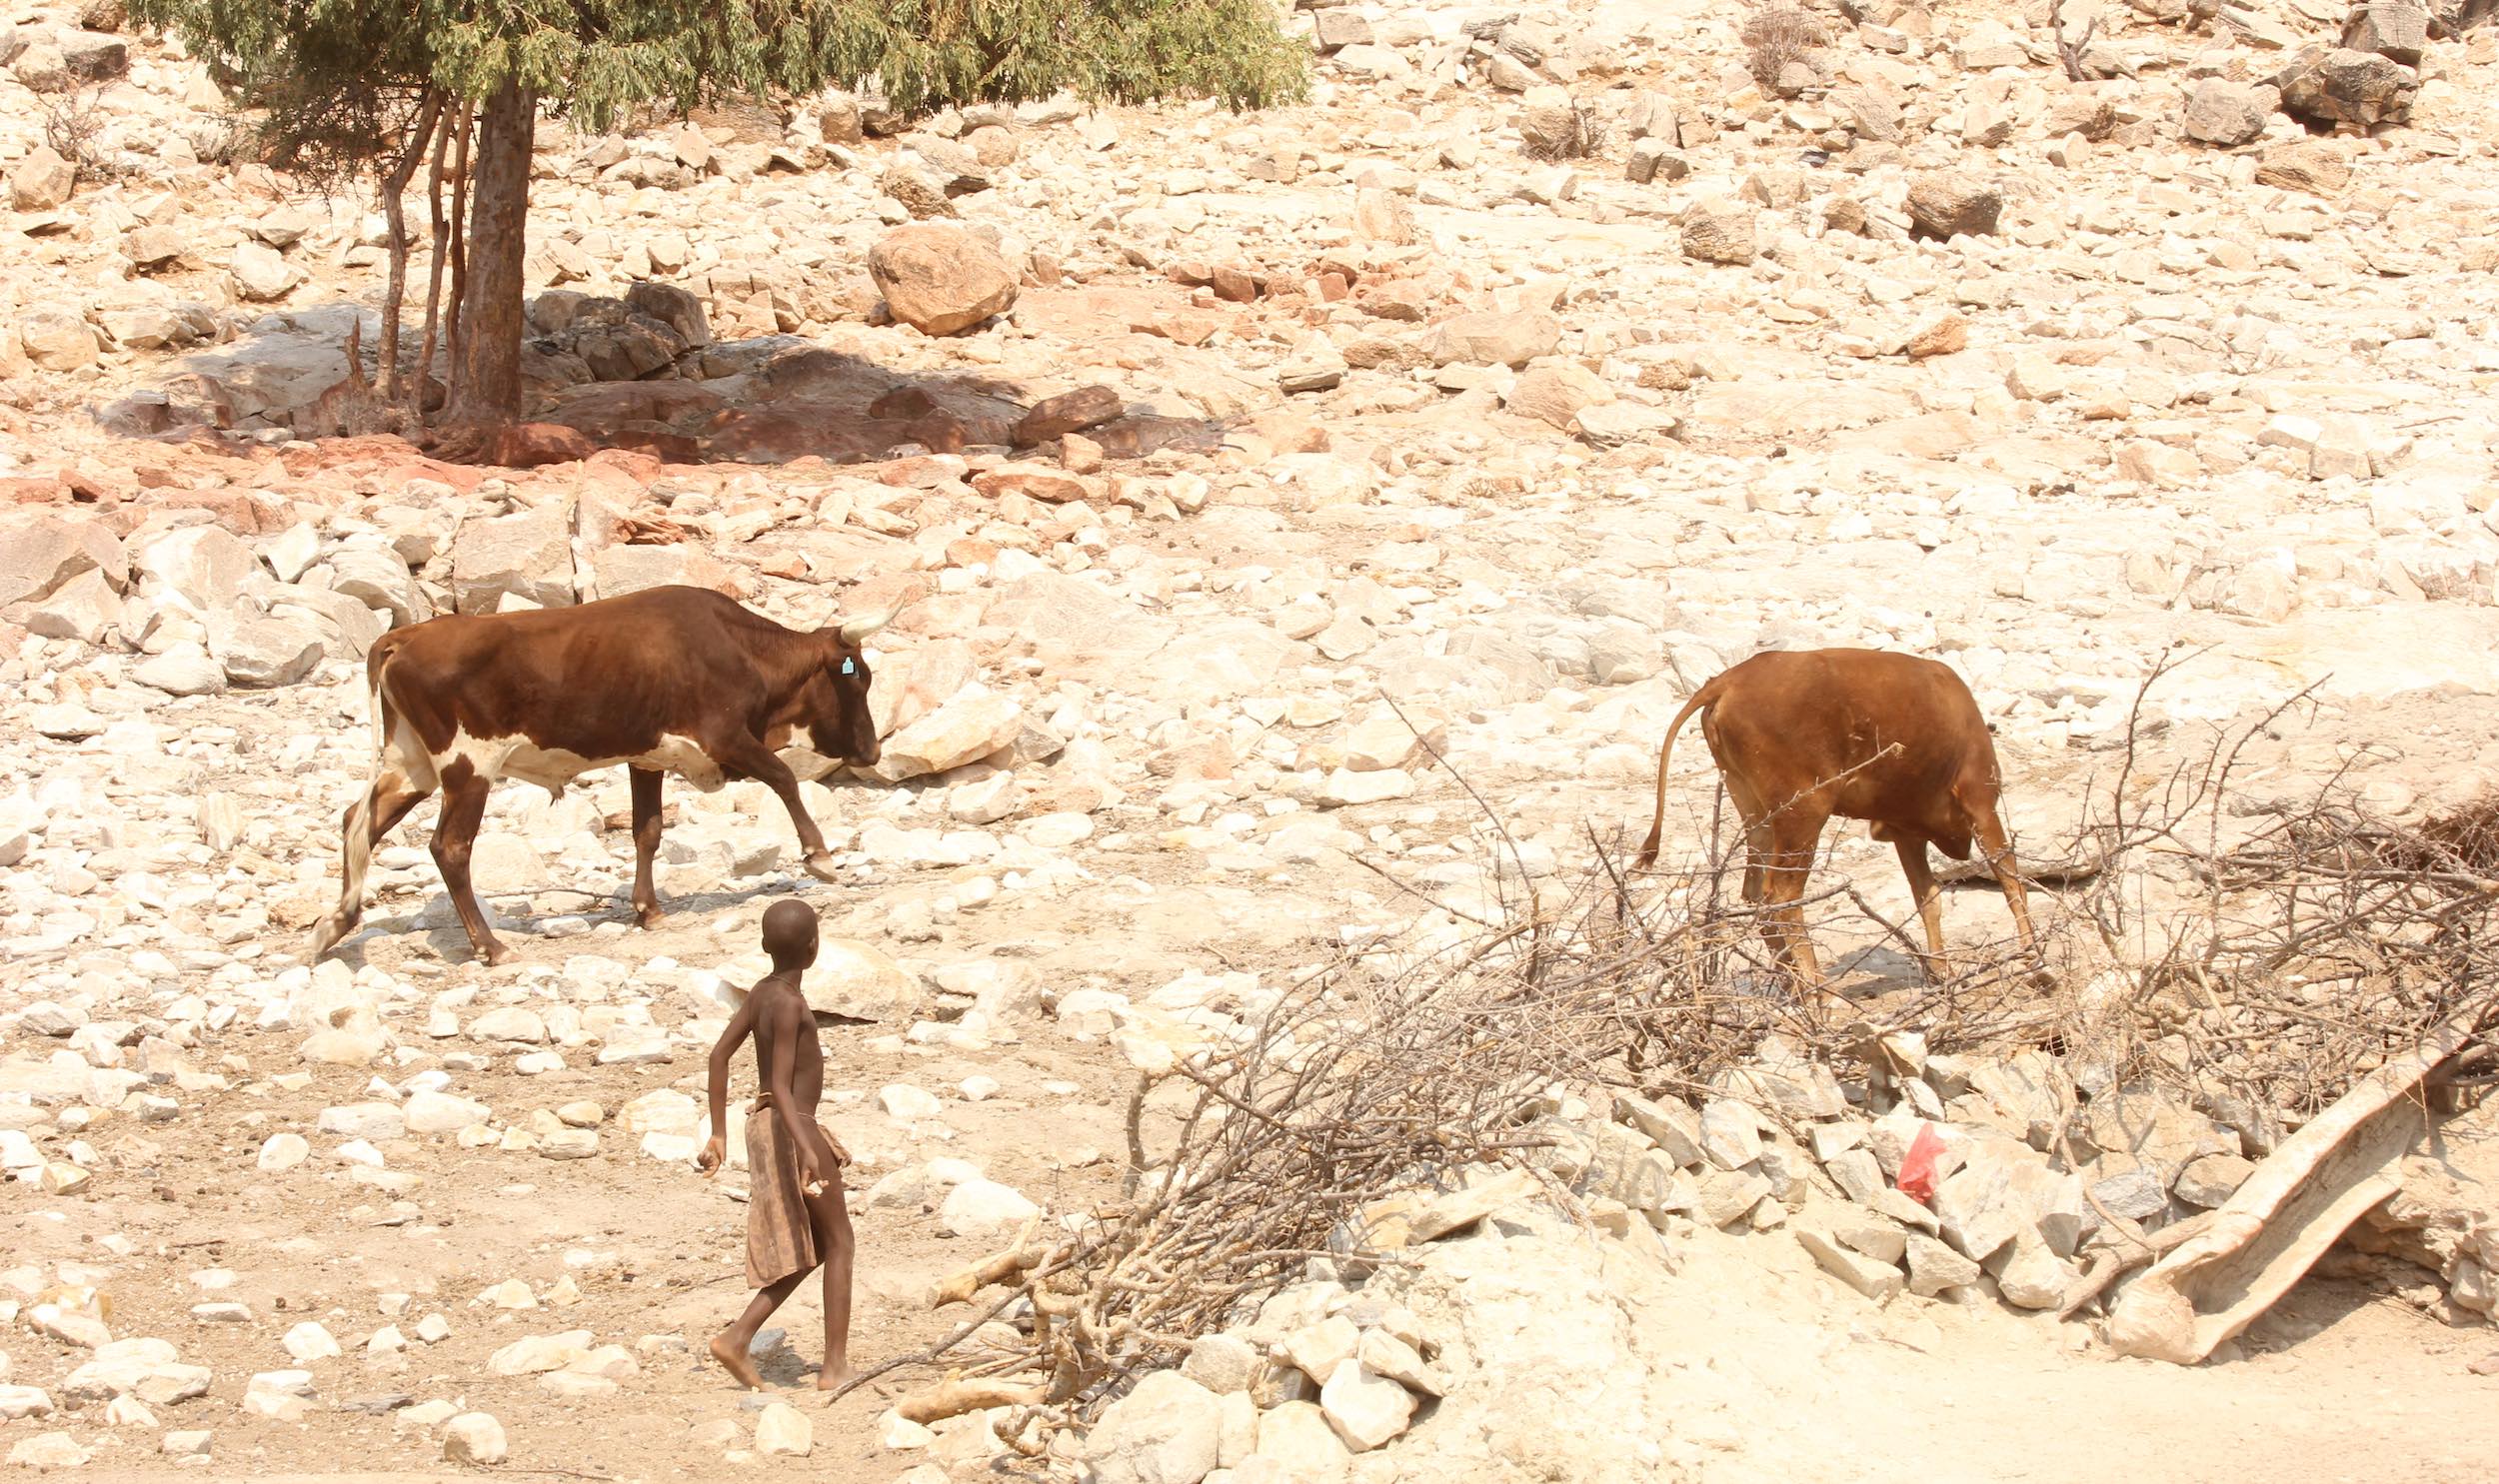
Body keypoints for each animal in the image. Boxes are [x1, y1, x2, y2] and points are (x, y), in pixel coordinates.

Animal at [308, 585, 889, 967]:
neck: (740, 648)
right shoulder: (725, 737)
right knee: (448, 848)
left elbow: (648, 830)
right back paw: (490, 946)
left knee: (358, 820)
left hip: (412, 764)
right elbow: (785, 778)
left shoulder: (648, 756)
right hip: (467, 765)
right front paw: (820, 857)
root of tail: (404, 636)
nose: (872, 751)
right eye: (857, 677)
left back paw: (336, 923)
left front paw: (648, 910)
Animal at [1635, 647, 2038, 1002]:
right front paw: (2035, 962)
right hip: (1805, 812)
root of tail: (1731, 679)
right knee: (1782, 896)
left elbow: (1929, 900)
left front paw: (1943, 974)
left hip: (1755, 813)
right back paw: (1817, 994)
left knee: (1755, 894)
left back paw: (1794, 990)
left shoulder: (1904, 833)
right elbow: (2012, 884)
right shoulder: (1981, 805)